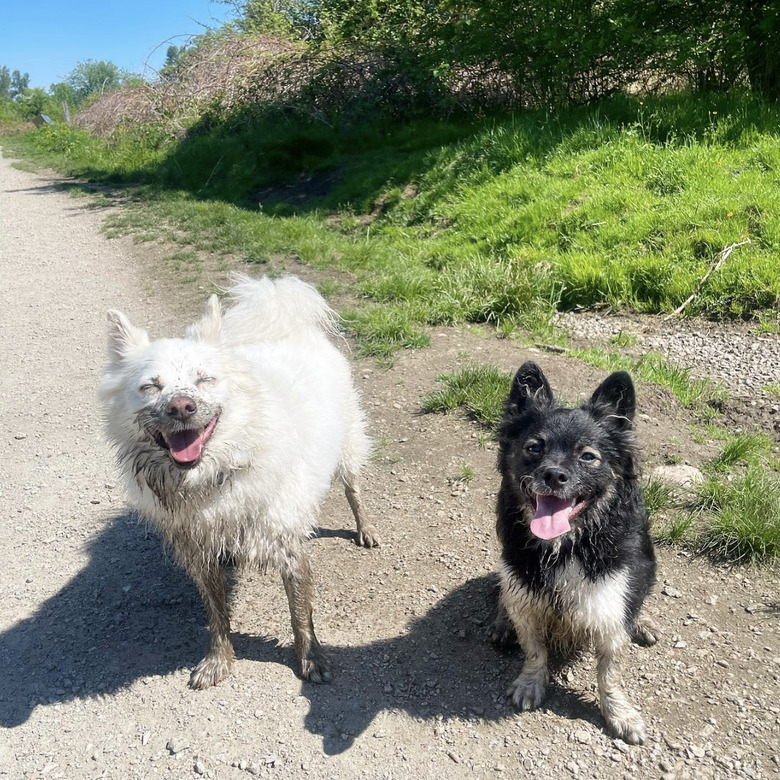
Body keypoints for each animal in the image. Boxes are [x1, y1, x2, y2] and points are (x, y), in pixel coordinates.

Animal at [99, 274, 380, 688]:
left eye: (204, 379)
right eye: (150, 386)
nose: (181, 407)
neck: (216, 474)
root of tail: (285, 315)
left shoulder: (288, 548)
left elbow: (300, 615)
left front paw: (311, 660)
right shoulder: (199, 553)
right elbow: (217, 616)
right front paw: (219, 661)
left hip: (348, 447)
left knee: (353, 488)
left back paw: (366, 528)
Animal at [494, 362, 660, 748]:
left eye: (587, 456)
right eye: (534, 448)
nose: (554, 475)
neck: (568, 544)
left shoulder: (611, 603)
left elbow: (610, 671)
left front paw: (619, 714)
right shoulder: (523, 590)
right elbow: (534, 648)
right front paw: (531, 683)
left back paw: (643, 621)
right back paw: (501, 621)